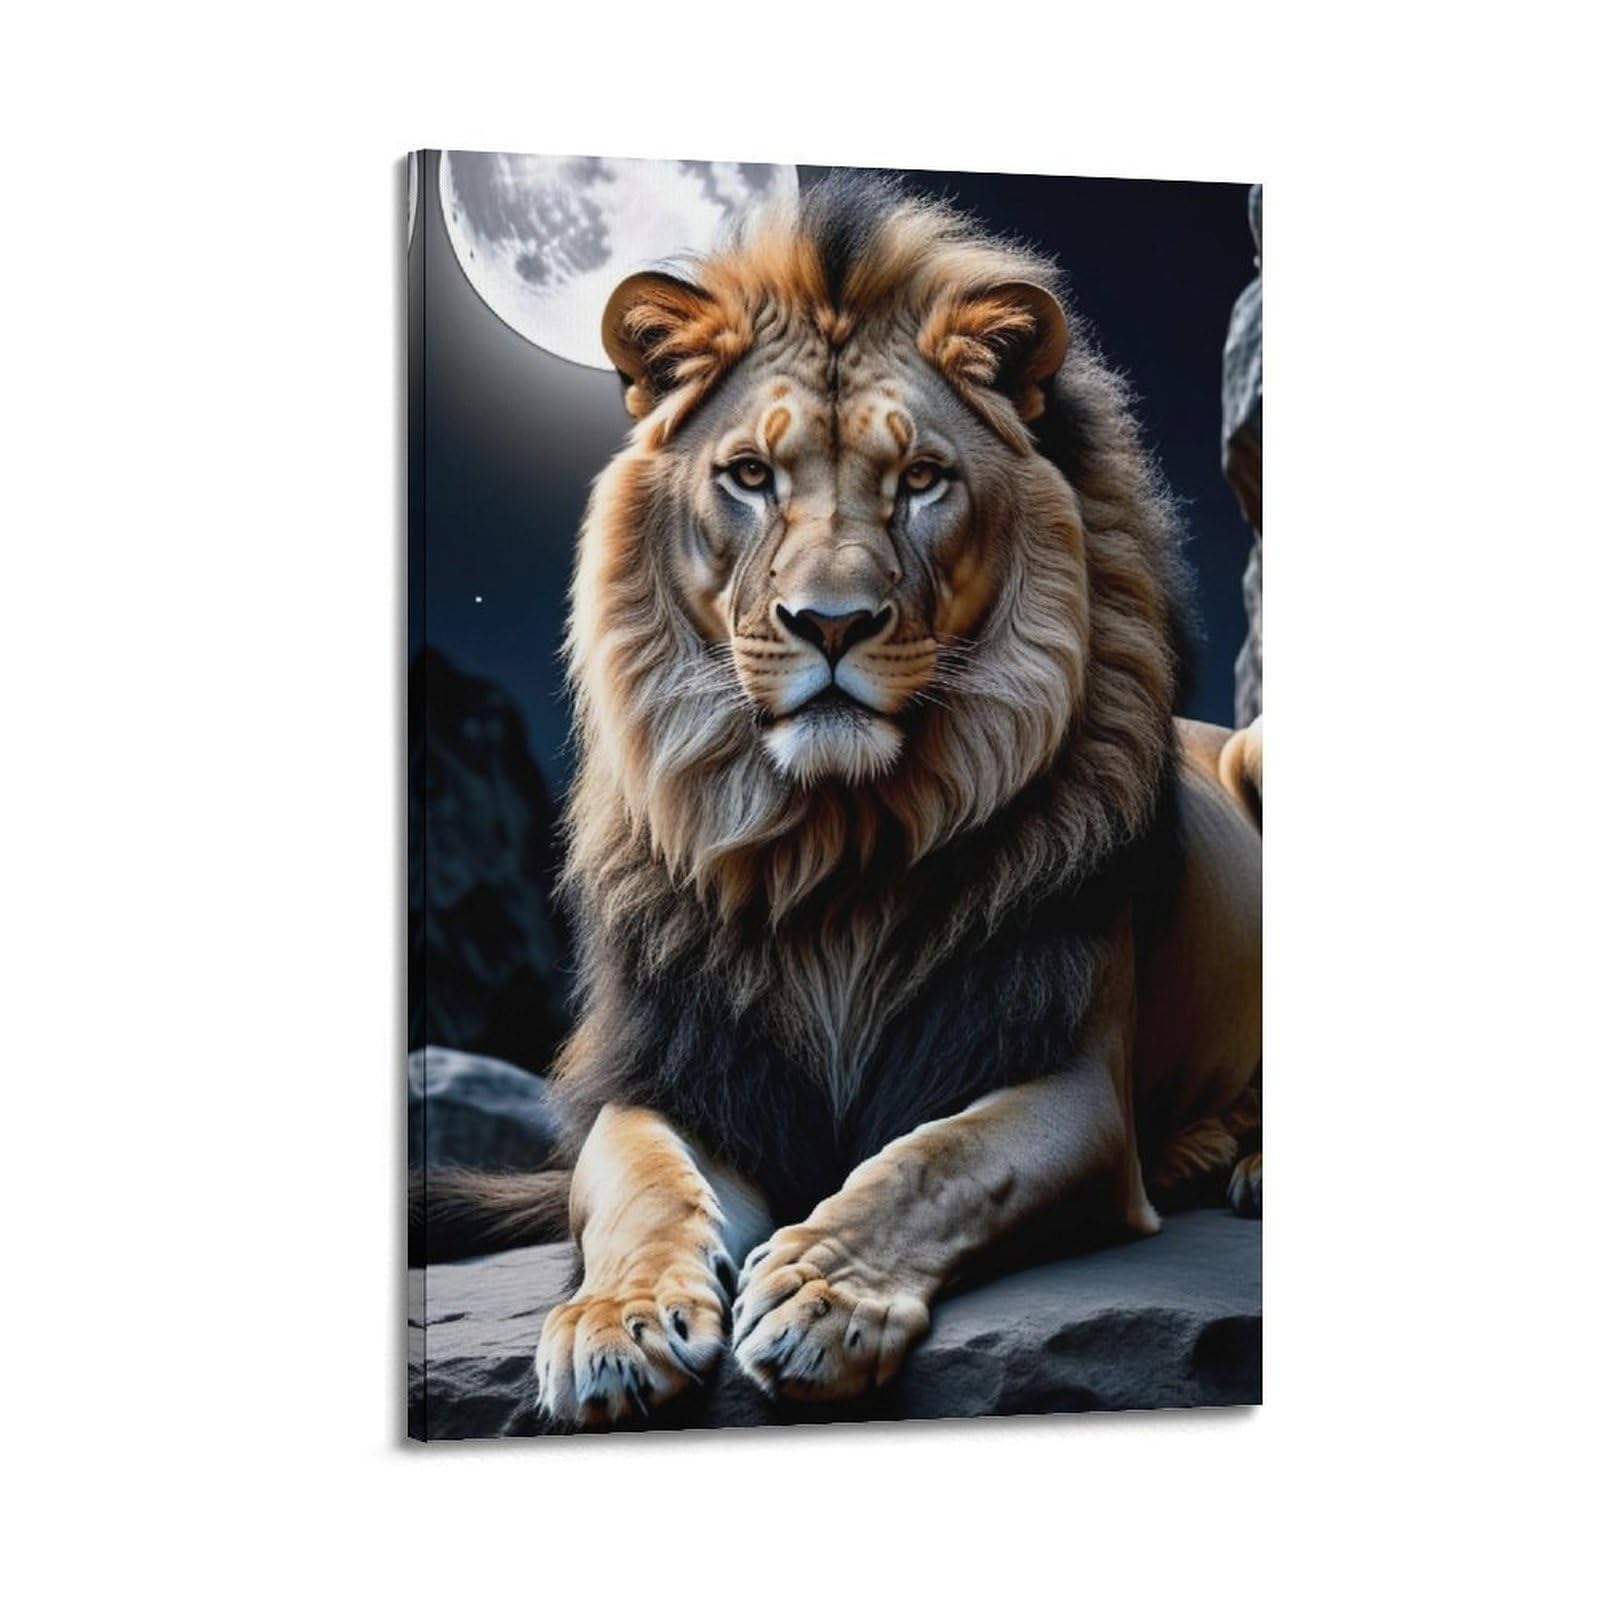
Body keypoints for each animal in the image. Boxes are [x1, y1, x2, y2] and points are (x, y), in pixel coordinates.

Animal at [422, 174, 1263, 1428]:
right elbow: (642, 1186)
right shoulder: (676, 1071)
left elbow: (938, 1162)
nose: (830, 623)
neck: (830, 845)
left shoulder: (1066, 1077)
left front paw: (822, 1295)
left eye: (919, 480)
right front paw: (620, 1321)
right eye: (749, 476)